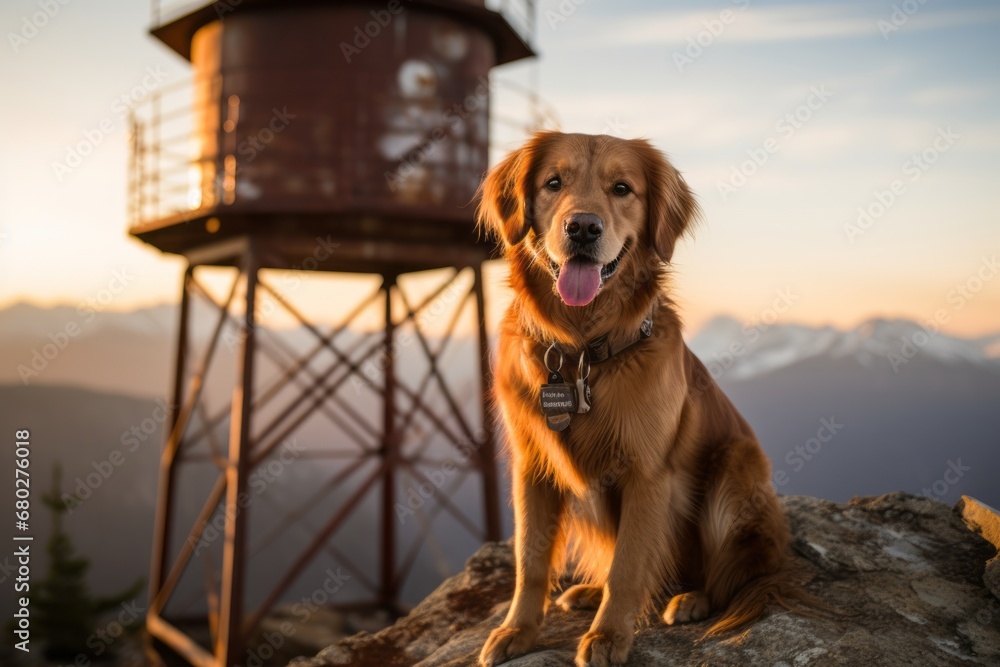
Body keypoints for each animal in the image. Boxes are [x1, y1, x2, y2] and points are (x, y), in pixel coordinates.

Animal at [478, 133, 804, 664]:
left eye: (622, 189)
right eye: (554, 182)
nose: (583, 227)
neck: (582, 352)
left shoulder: (647, 473)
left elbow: (629, 567)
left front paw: (609, 636)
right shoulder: (532, 468)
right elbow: (530, 559)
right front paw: (517, 630)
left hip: (737, 464)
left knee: (728, 574)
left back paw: (691, 599)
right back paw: (589, 592)